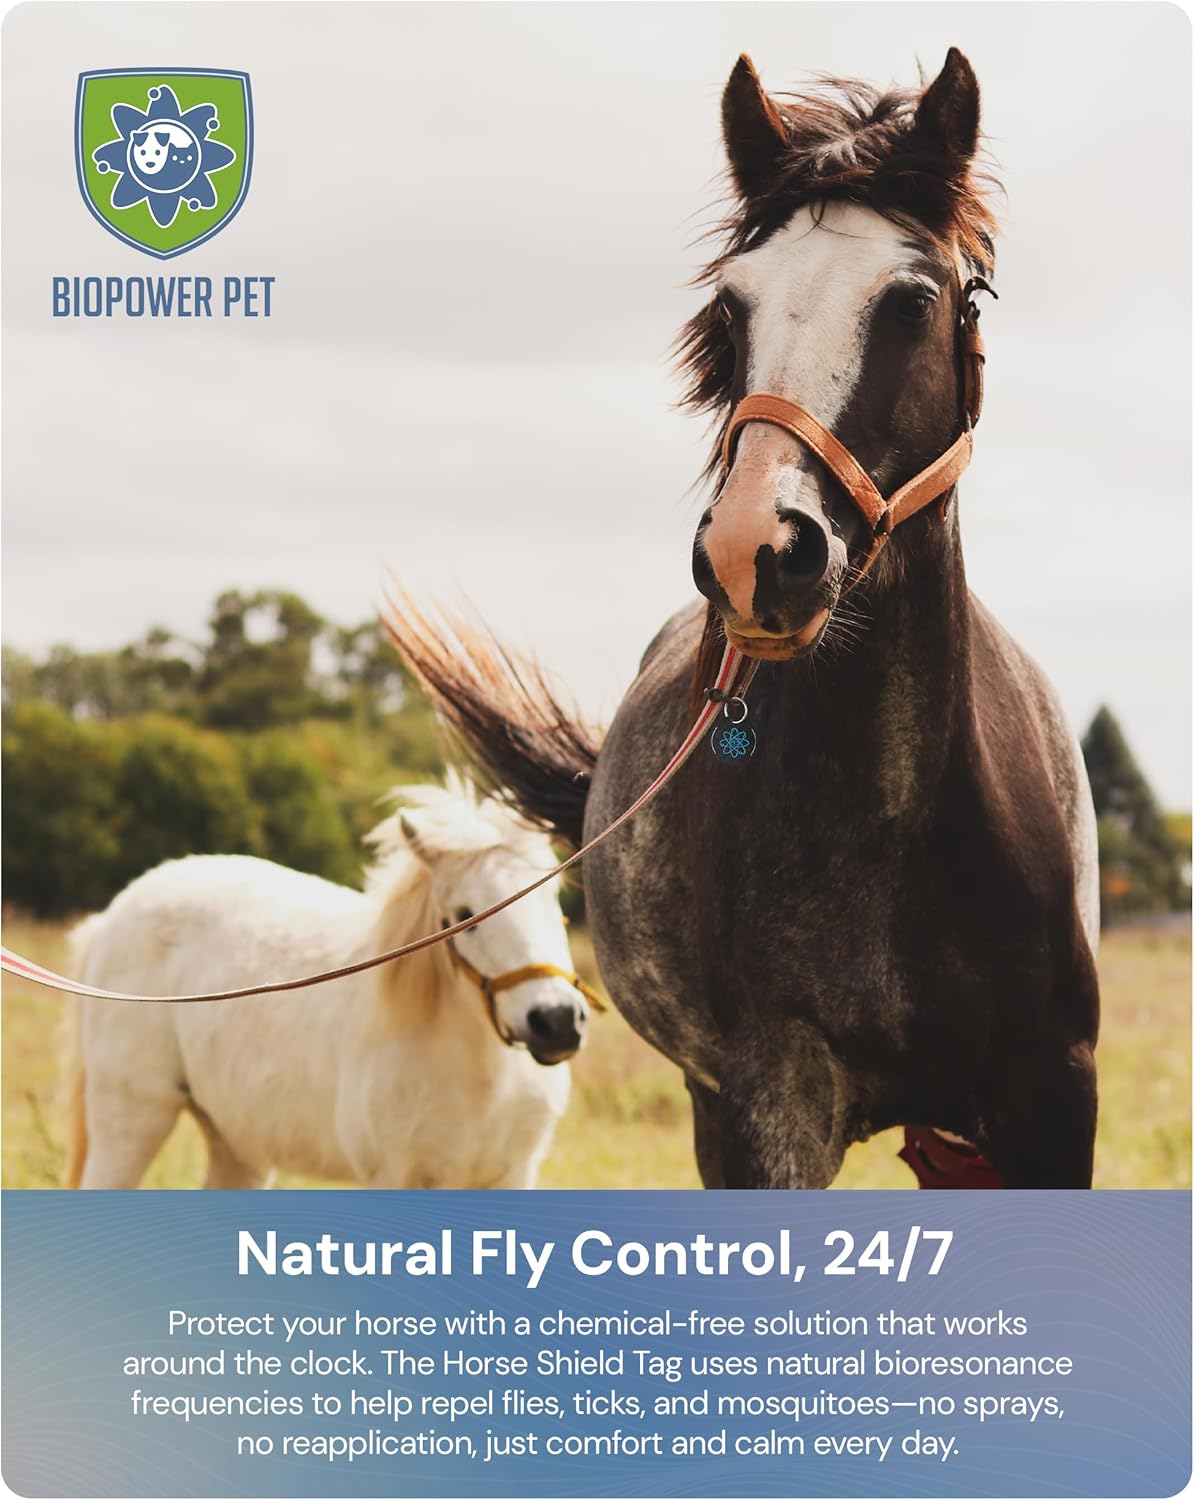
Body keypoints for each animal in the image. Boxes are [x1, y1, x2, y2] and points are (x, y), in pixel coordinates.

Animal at [62, 780, 593, 1189]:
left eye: (552, 896)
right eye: (465, 916)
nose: (555, 1021)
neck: (483, 1080)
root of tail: (112, 916)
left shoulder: (511, 1178)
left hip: (237, 1142)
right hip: (132, 1122)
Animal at [384, 48, 1100, 1189]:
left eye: (914, 301)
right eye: (733, 305)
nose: (756, 551)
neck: (897, 826)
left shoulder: (1051, 1099)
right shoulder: (773, 1103)